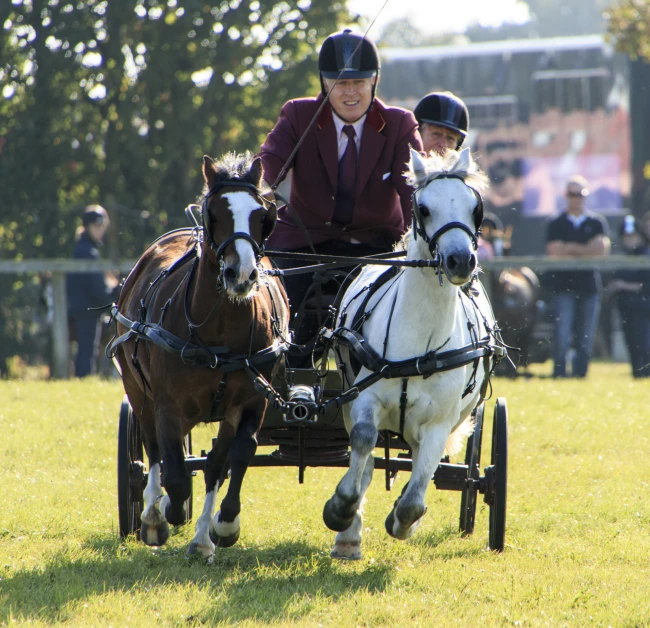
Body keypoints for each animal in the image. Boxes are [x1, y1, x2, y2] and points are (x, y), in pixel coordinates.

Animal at [112, 153, 288, 564]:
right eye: (215, 213)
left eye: (262, 215)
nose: (242, 274)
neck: (219, 330)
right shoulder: (167, 404)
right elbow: (174, 471)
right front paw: (164, 514)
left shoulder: (251, 401)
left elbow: (234, 458)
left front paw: (221, 527)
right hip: (137, 390)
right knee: (152, 451)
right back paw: (152, 513)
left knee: (213, 464)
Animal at [322, 147, 498, 560]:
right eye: (424, 208)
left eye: (475, 207)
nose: (461, 261)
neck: (420, 340)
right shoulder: (364, 399)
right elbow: (364, 443)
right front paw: (340, 509)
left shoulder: (439, 423)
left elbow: (418, 491)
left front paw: (403, 521)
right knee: (368, 459)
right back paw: (348, 536)